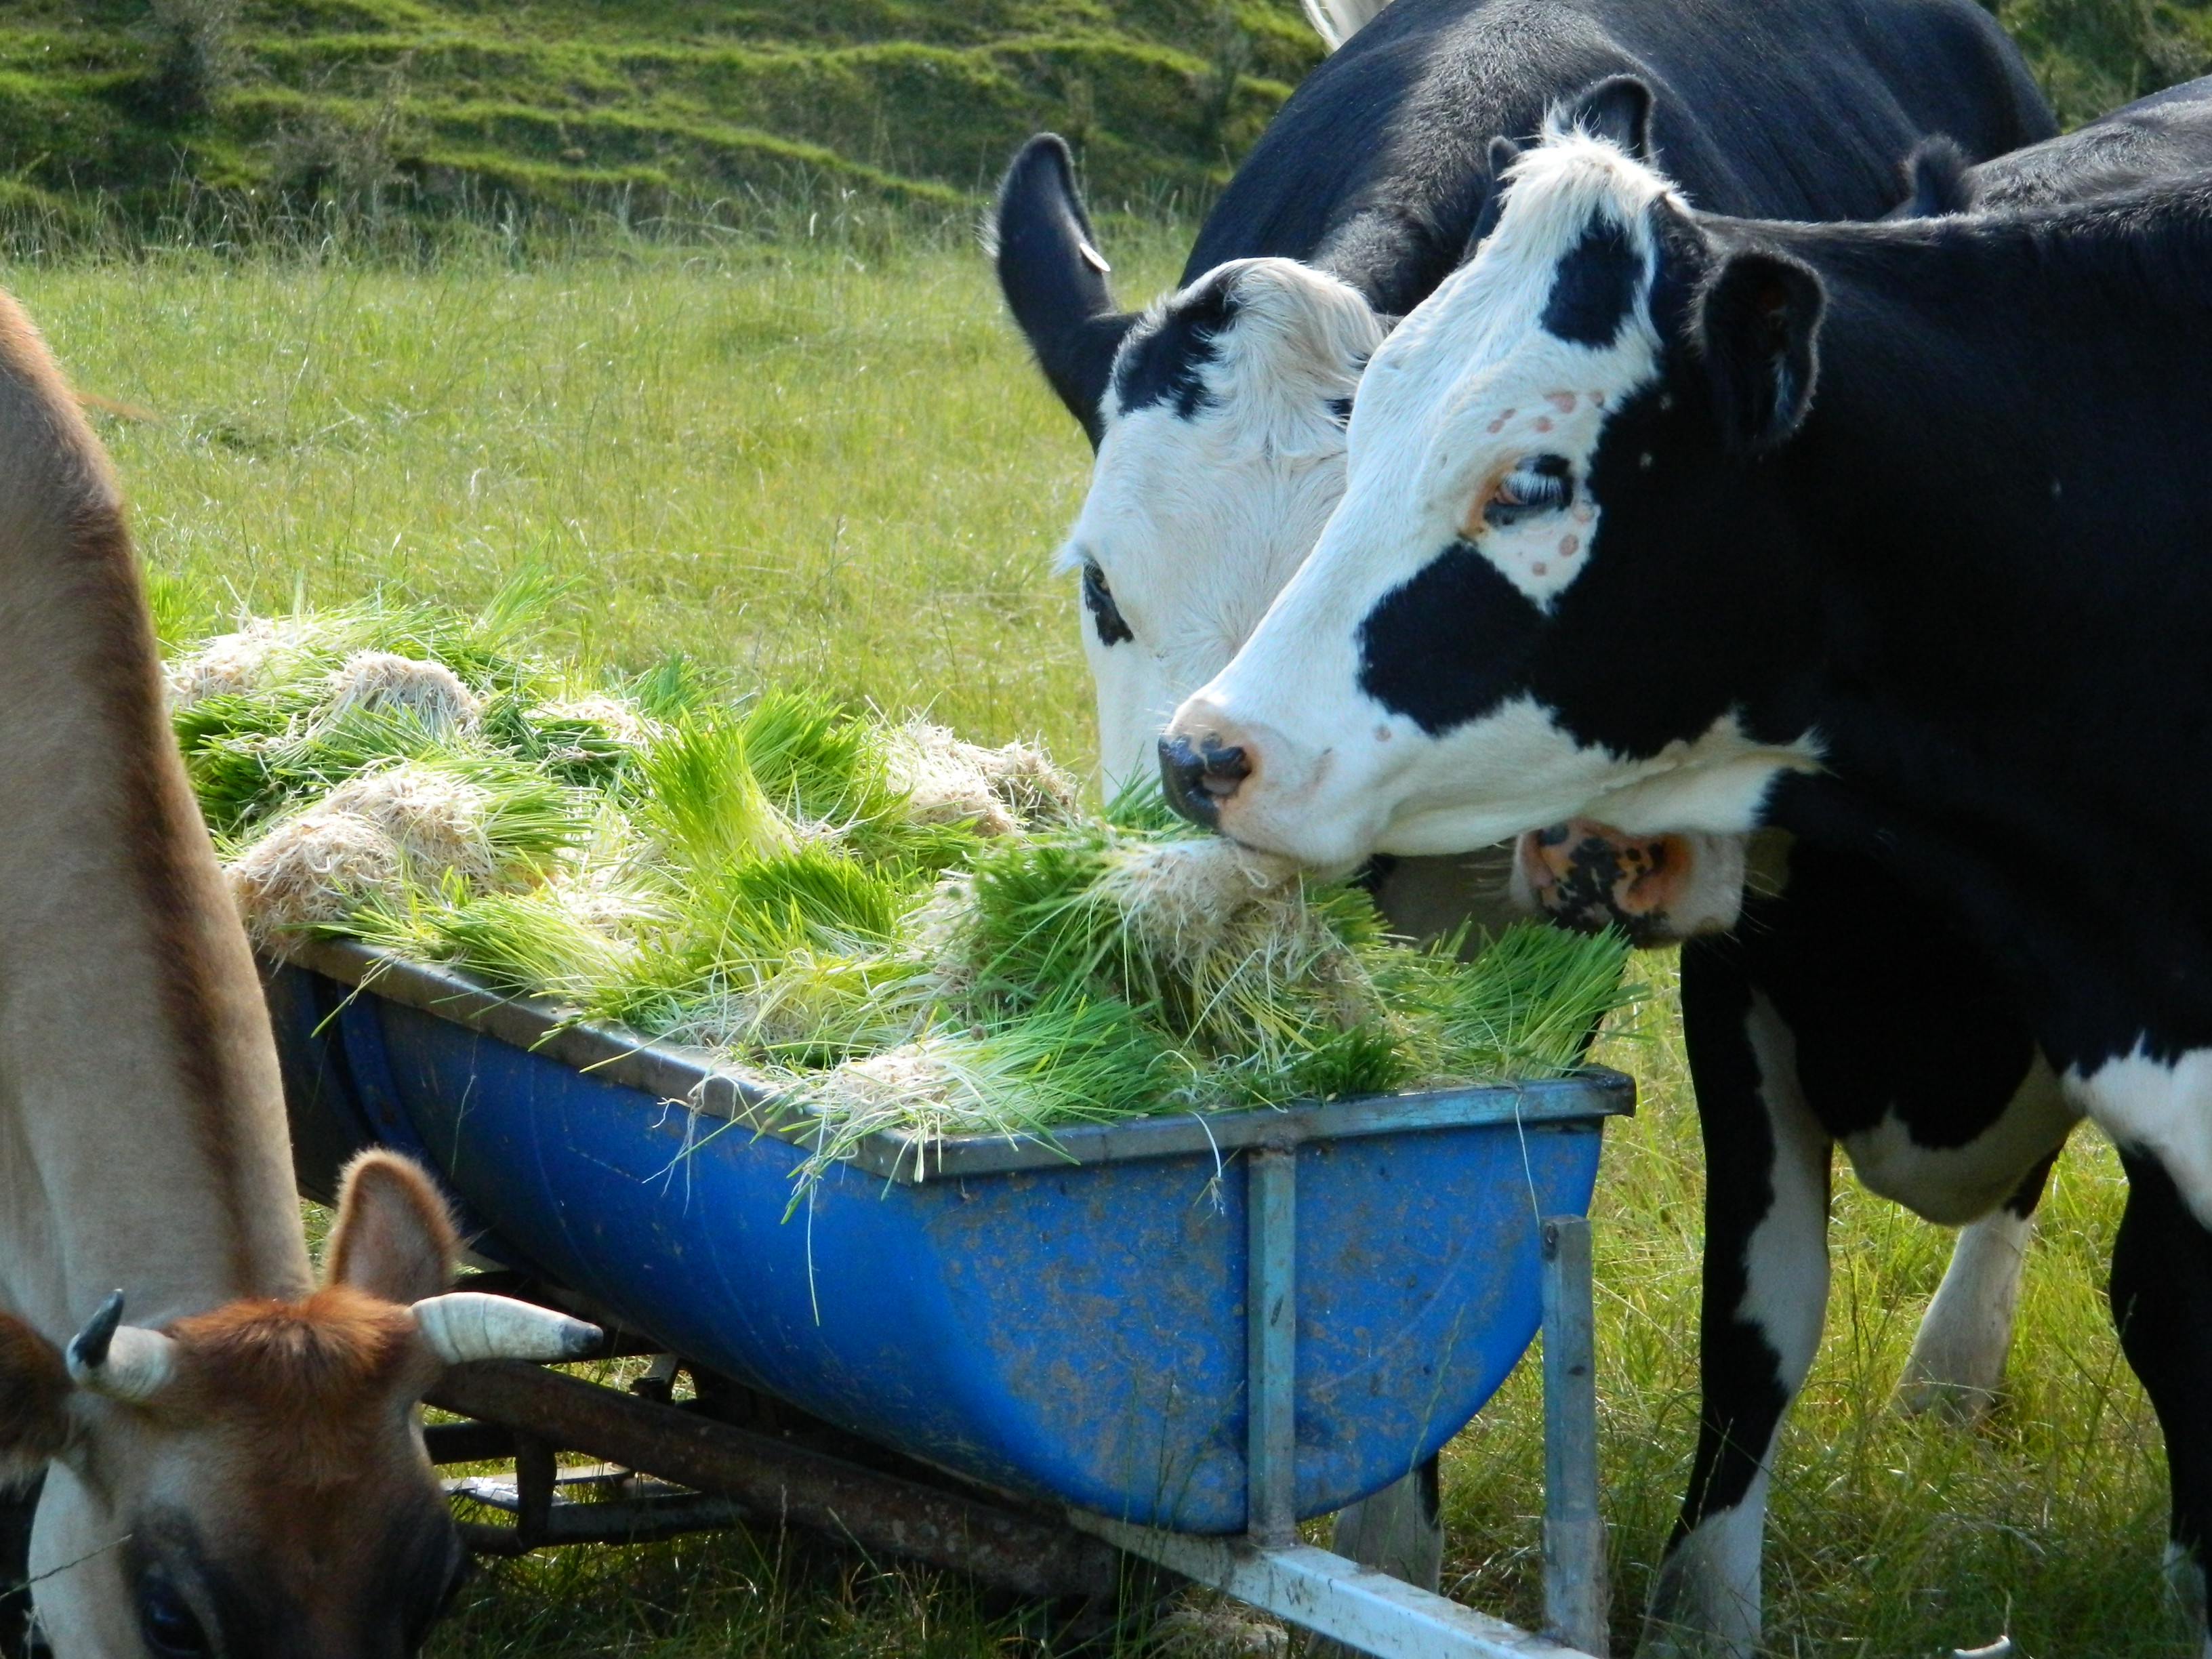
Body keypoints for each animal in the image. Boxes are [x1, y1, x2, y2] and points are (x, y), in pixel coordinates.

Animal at [1168, 97, 2212, 1654]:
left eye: (1533, 479)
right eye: (1372, 418)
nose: (1205, 750)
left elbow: (2170, 1317)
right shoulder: (1753, 997)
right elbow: (1758, 1316)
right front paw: (1703, 1613)